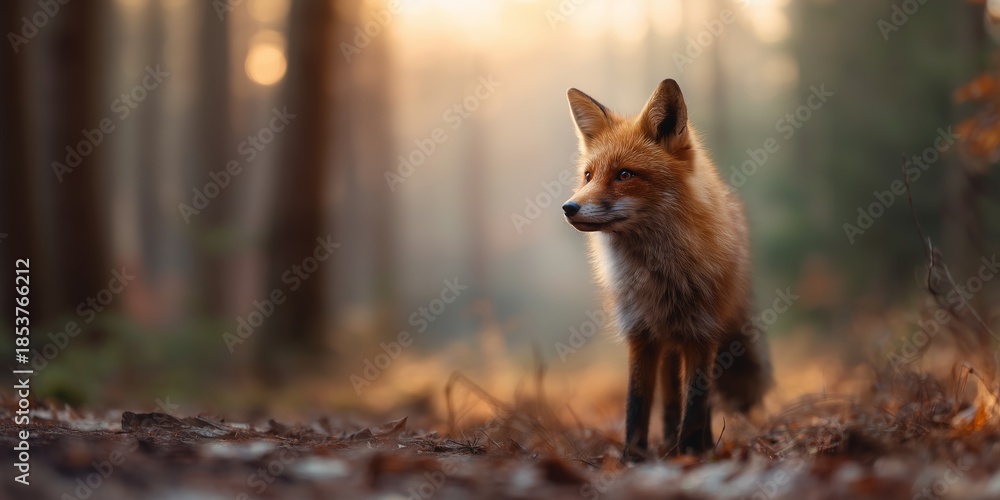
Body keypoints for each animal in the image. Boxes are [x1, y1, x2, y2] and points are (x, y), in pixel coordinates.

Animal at [561, 79, 772, 461]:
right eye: (588, 176)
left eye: (625, 174)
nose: (569, 208)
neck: (659, 275)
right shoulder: (641, 334)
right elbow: (636, 405)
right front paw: (633, 457)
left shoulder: (702, 333)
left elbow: (697, 403)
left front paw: (690, 454)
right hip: (669, 346)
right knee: (671, 400)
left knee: (699, 402)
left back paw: (695, 445)